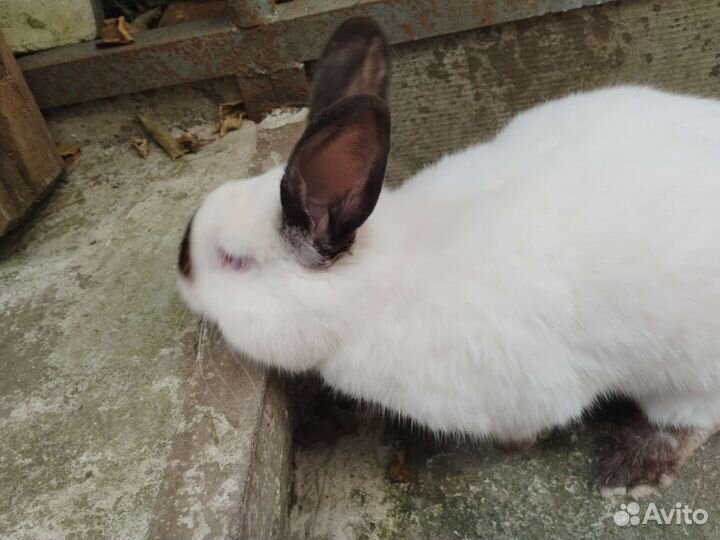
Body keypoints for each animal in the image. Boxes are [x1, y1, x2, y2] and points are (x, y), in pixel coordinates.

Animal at [178, 16, 720, 495]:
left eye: (233, 260)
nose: (181, 275)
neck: (375, 292)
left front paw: (515, 446)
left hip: (686, 371)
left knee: (693, 417)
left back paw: (632, 470)